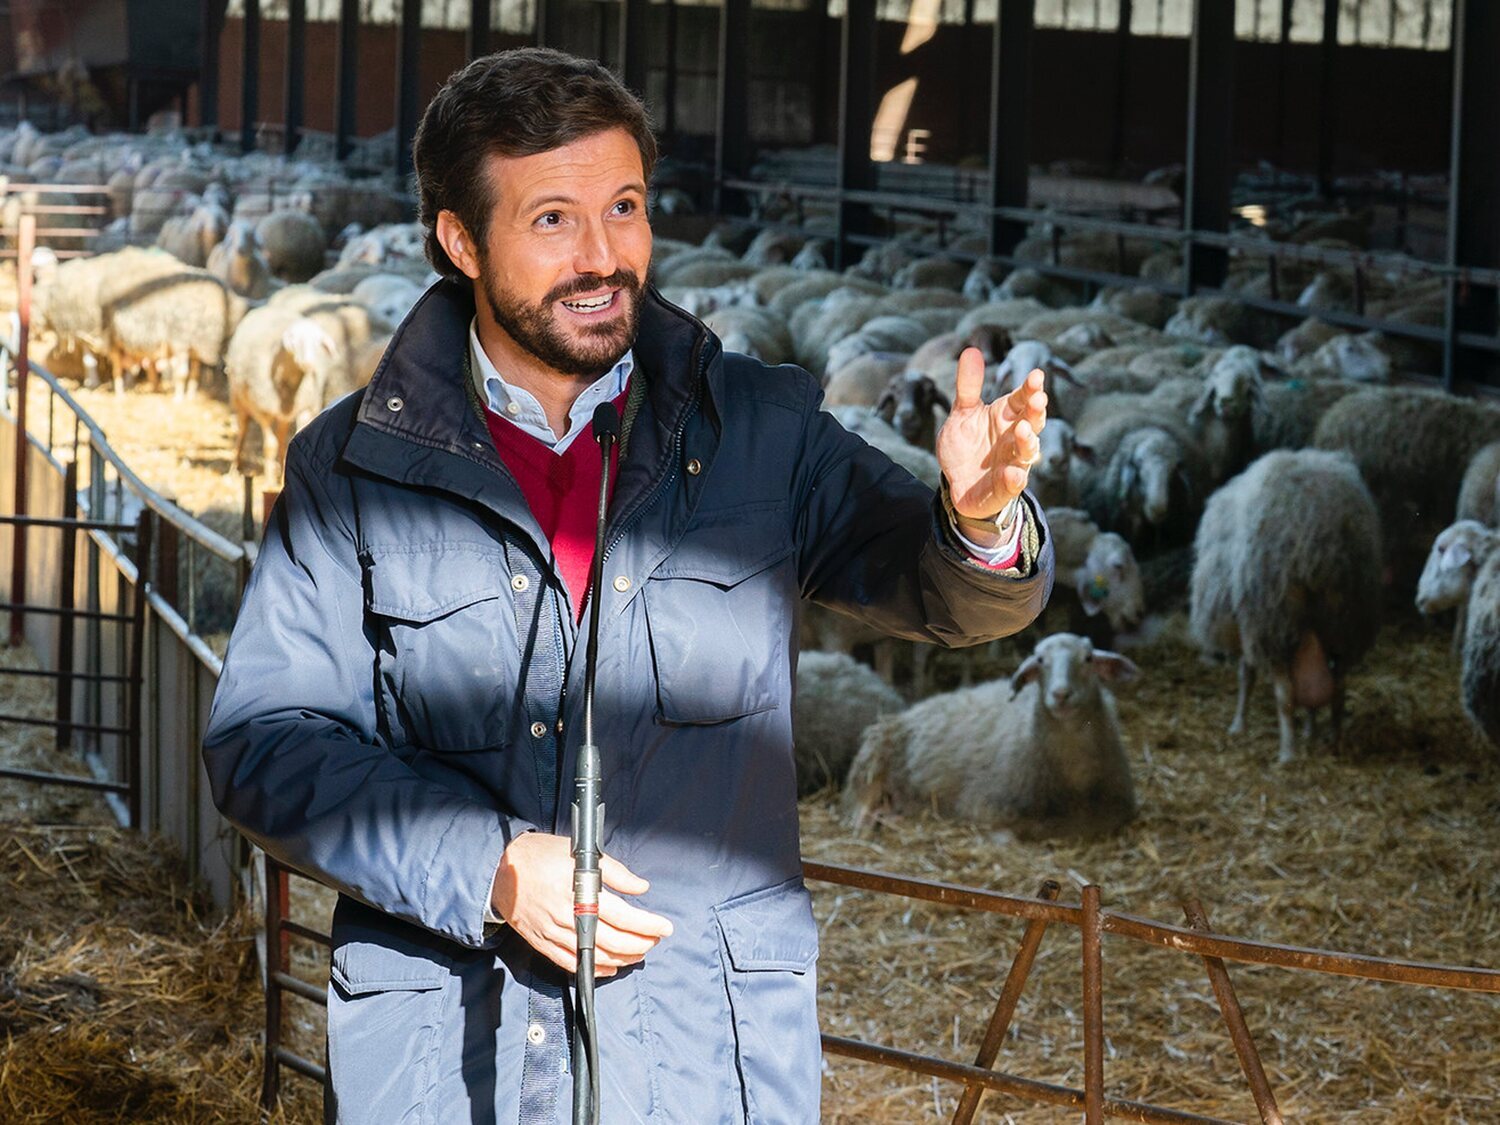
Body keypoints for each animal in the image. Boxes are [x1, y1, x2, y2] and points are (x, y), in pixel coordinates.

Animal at [1182, 453, 1380, 768]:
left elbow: (1247, 676)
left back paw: (1287, 753)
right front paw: (1311, 731)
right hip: (1343, 620)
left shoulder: (1249, 626)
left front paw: (1239, 724)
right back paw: (1334, 740)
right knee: (1338, 688)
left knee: (1285, 695)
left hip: (1272, 620)